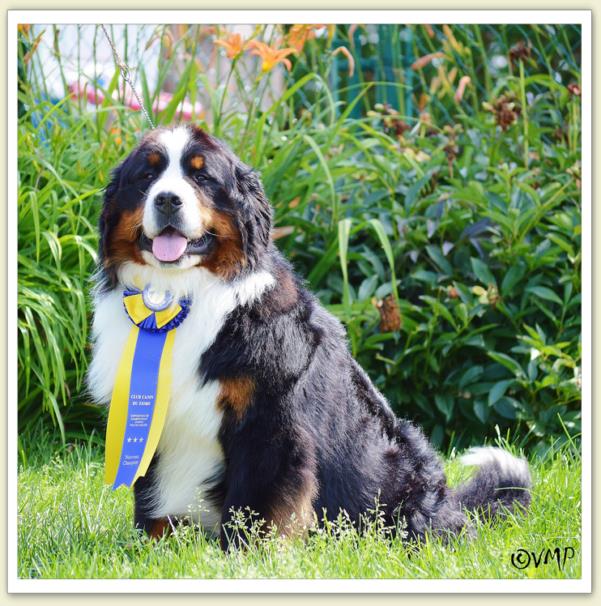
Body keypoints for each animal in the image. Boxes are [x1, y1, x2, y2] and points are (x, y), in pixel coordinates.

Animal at [85, 126, 528, 552]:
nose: (167, 200)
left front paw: (243, 557)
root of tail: (453, 504)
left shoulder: (269, 426)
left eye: (202, 176)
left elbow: (255, 508)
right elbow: (151, 500)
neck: (183, 294)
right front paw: (150, 549)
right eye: (147, 176)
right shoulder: (149, 417)